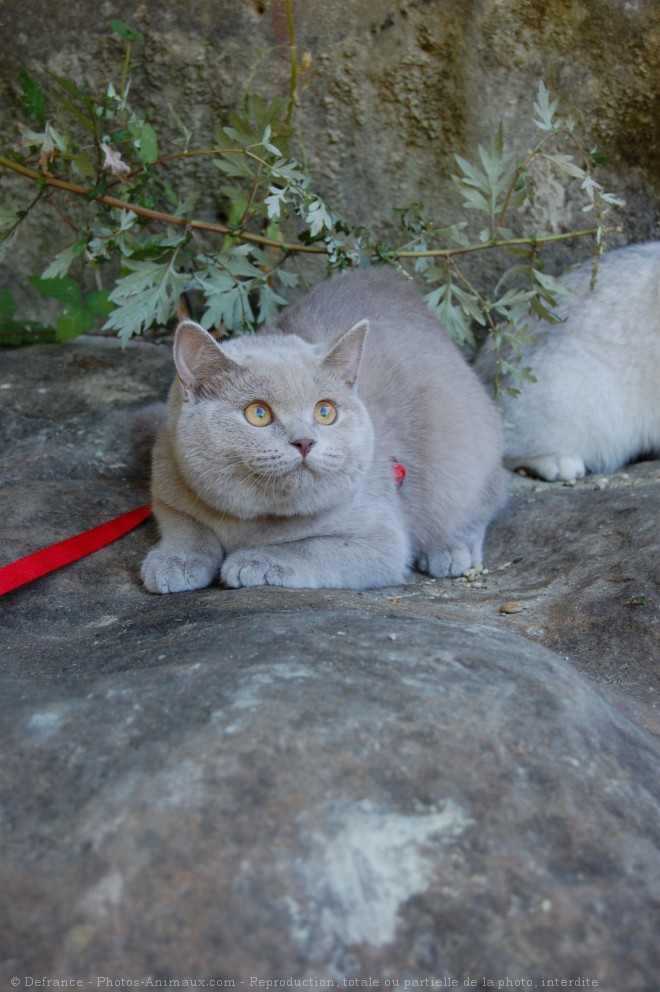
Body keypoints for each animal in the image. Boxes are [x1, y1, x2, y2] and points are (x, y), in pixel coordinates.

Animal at [142, 266, 508, 588]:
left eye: (325, 412)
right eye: (258, 413)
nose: (304, 441)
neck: (252, 523)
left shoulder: (381, 540)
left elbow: (307, 548)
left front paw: (255, 561)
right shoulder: (168, 490)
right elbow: (187, 529)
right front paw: (174, 562)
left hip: (466, 455)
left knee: (485, 502)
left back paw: (451, 551)